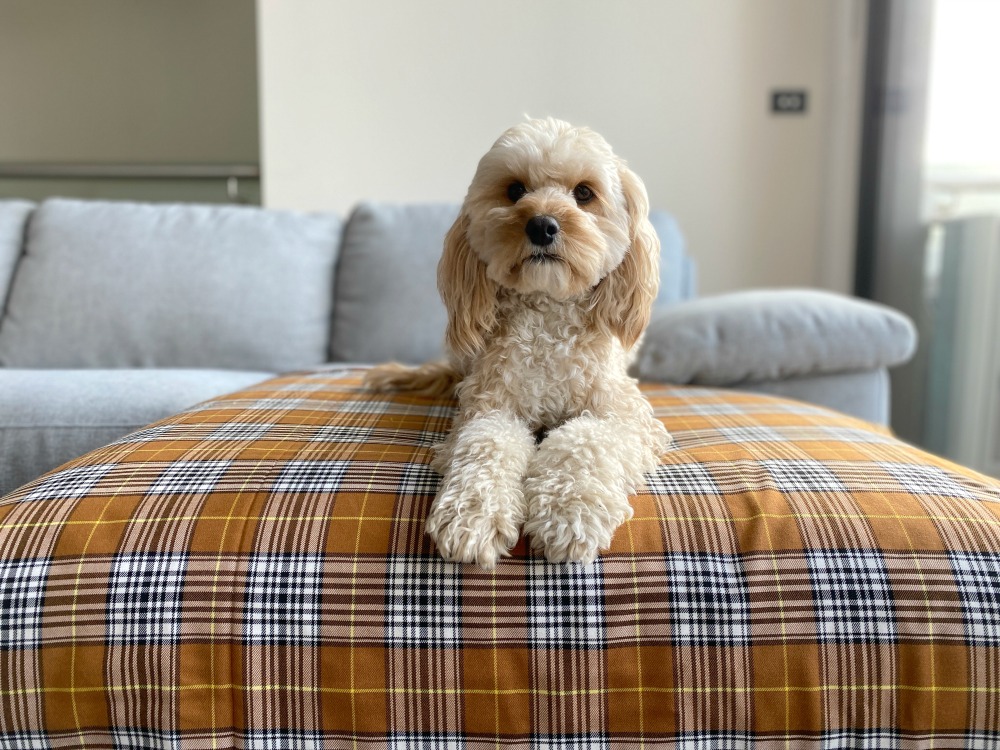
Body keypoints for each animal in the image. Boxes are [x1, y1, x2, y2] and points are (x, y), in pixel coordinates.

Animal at [368, 119, 672, 568]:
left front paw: (569, 513)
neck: (548, 317)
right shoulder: (489, 407)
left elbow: (584, 440)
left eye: (584, 193)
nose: (542, 225)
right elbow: (487, 444)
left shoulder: (625, 416)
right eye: (514, 190)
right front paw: (472, 515)